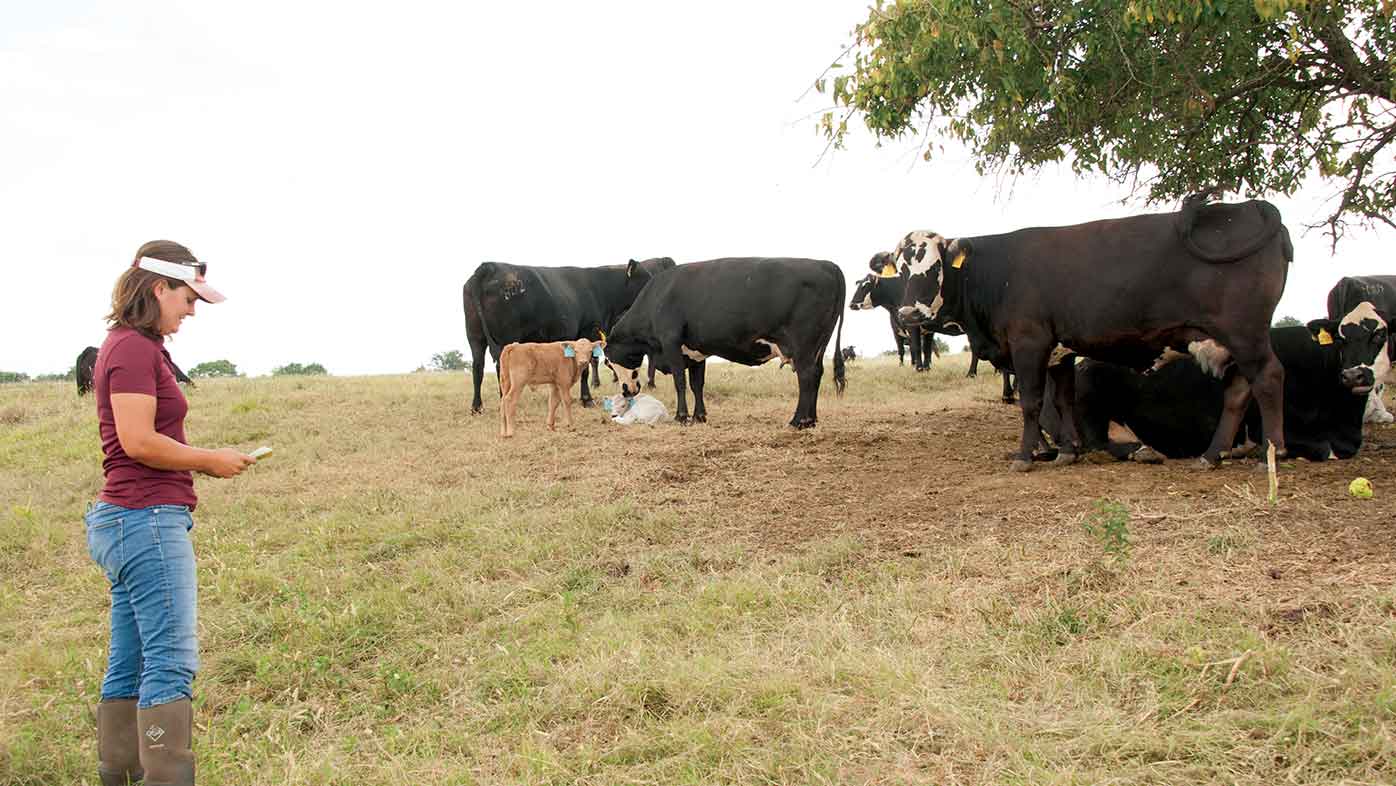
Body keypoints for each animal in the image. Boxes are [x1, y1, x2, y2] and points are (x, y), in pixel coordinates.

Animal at [460, 259, 672, 418]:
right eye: (646, 279)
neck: (600, 289)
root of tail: (488, 267)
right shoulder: (587, 333)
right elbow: (586, 368)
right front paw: (587, 399)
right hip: (506, 338)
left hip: (475, 336)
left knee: (477, 368)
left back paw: (476, 407)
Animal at [603, 256, 843, 429]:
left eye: (607, 361)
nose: (627, 390)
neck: (657, 298)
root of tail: (827, 265)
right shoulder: (695, 350)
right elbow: (697, 384)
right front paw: (699, 416)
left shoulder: (671, 342)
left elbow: (680, 381)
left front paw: (681, 417)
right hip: (818, 346)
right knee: (817, 374)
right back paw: (811, 420)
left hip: (803, 346)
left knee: (807, 376)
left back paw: (798, 421)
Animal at [899, 194, 1289, 471]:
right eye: (901, 269)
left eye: (935, 266)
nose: (907, 313)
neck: (998, 272)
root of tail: (1253, 206)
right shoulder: (1059, 352)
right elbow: (1063, 400)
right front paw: (1068, 452)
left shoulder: (1030, 343)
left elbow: (1031, 401)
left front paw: (1025, 456)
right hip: (1231, 341)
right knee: (1238, 392)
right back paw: (1211, 456)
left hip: (1245, 333)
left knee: (1268, 378)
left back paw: (1270, 452)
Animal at [1044, 307, 1390, 463]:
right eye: (1342, 338)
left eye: (1380, 335)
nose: (1355, 375)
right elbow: (1322, 449)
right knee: (1098, 443)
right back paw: (1144, 450)